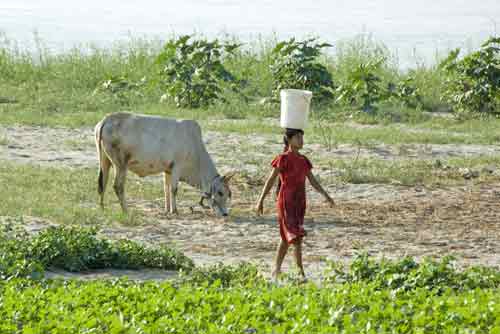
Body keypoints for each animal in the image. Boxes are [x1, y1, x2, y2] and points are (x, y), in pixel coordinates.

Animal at [94, 113, 232, 217]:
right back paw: (126, 210)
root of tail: (106, 119)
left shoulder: (168, 170)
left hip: (105, 161)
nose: (225, 214)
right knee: (118, 186)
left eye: (228, 193)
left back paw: (102, 208)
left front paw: (167, 209)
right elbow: (174, 189)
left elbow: (166, 188)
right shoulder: (177, 167)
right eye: (220, 192)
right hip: (120, 165)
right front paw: (174, 211)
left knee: (103, 183)